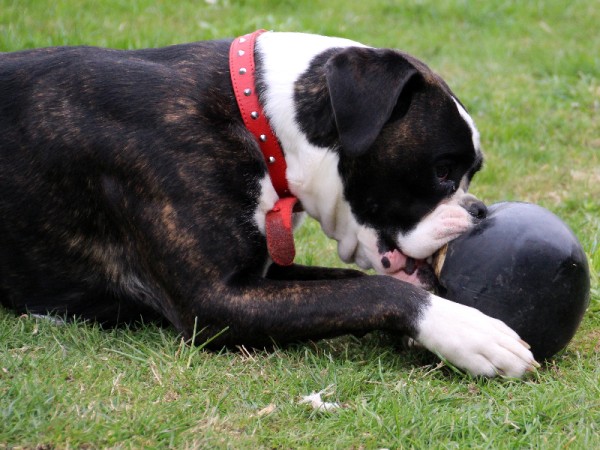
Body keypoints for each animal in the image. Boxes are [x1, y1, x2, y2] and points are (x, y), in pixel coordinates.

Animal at [0, 29, 536, 378]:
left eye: (470, 174)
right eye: (442, 170)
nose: (479, 211)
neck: (259, 119)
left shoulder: (261, 275)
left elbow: (347, 285)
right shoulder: (215, 301)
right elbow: (371, 291)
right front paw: (468, 331)